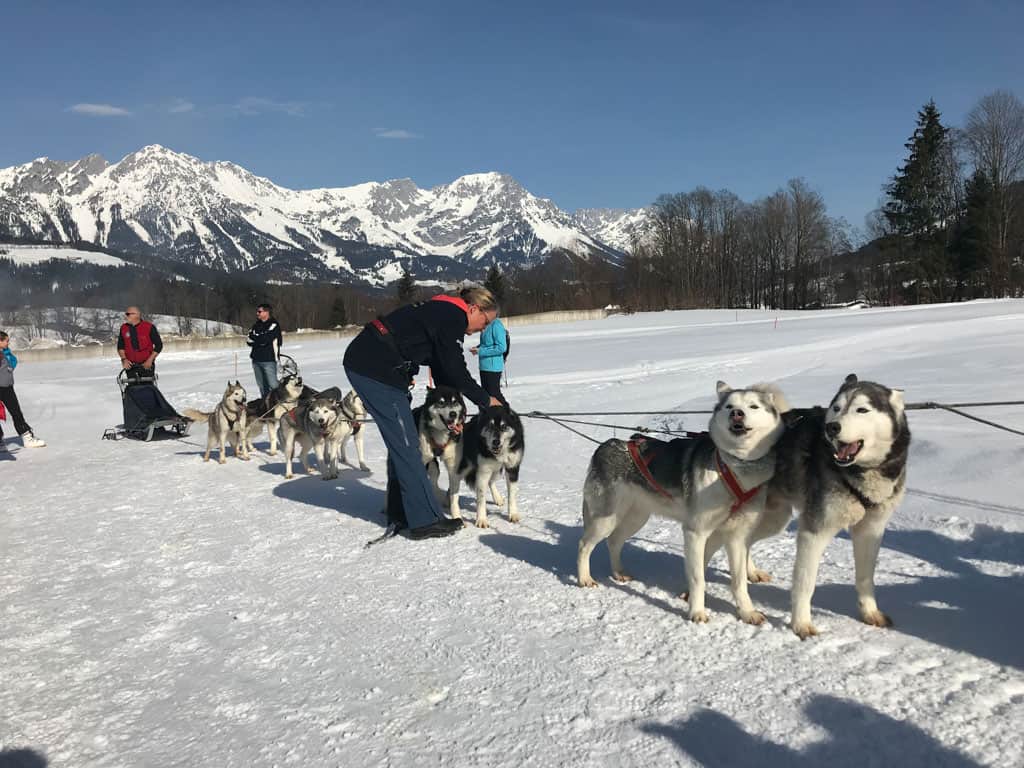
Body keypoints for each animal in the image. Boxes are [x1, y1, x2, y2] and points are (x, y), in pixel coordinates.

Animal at [411, 387, 468, 520]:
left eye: (454, 402)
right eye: (441, 402)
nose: (453, 414)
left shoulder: (453, 467)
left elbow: (454, 496)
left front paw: (457, 517)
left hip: (434, 467)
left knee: (434, 482)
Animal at [577, 382, 790, 626]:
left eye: (753, 406)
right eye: (729, 406)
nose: (737, 413)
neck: (734, 467)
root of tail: (606, 446)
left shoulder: (736, 537)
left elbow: (738, 582)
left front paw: (747, 612)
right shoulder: (696, 533)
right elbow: (698, 578)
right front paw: (696, 612)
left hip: (635, 518)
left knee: (613, 541)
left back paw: (618, 572)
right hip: (606, 518)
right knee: (584, 545)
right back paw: (584, 578)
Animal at [761, 372, 913, 638]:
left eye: (862, 409)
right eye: (836, 408)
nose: (832, 427)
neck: (859, 472)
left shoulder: (870, 530)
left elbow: (865, 577)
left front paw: (870, 612)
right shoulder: (814, 531)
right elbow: (805, 582)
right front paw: (801, 624)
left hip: (772, 519)